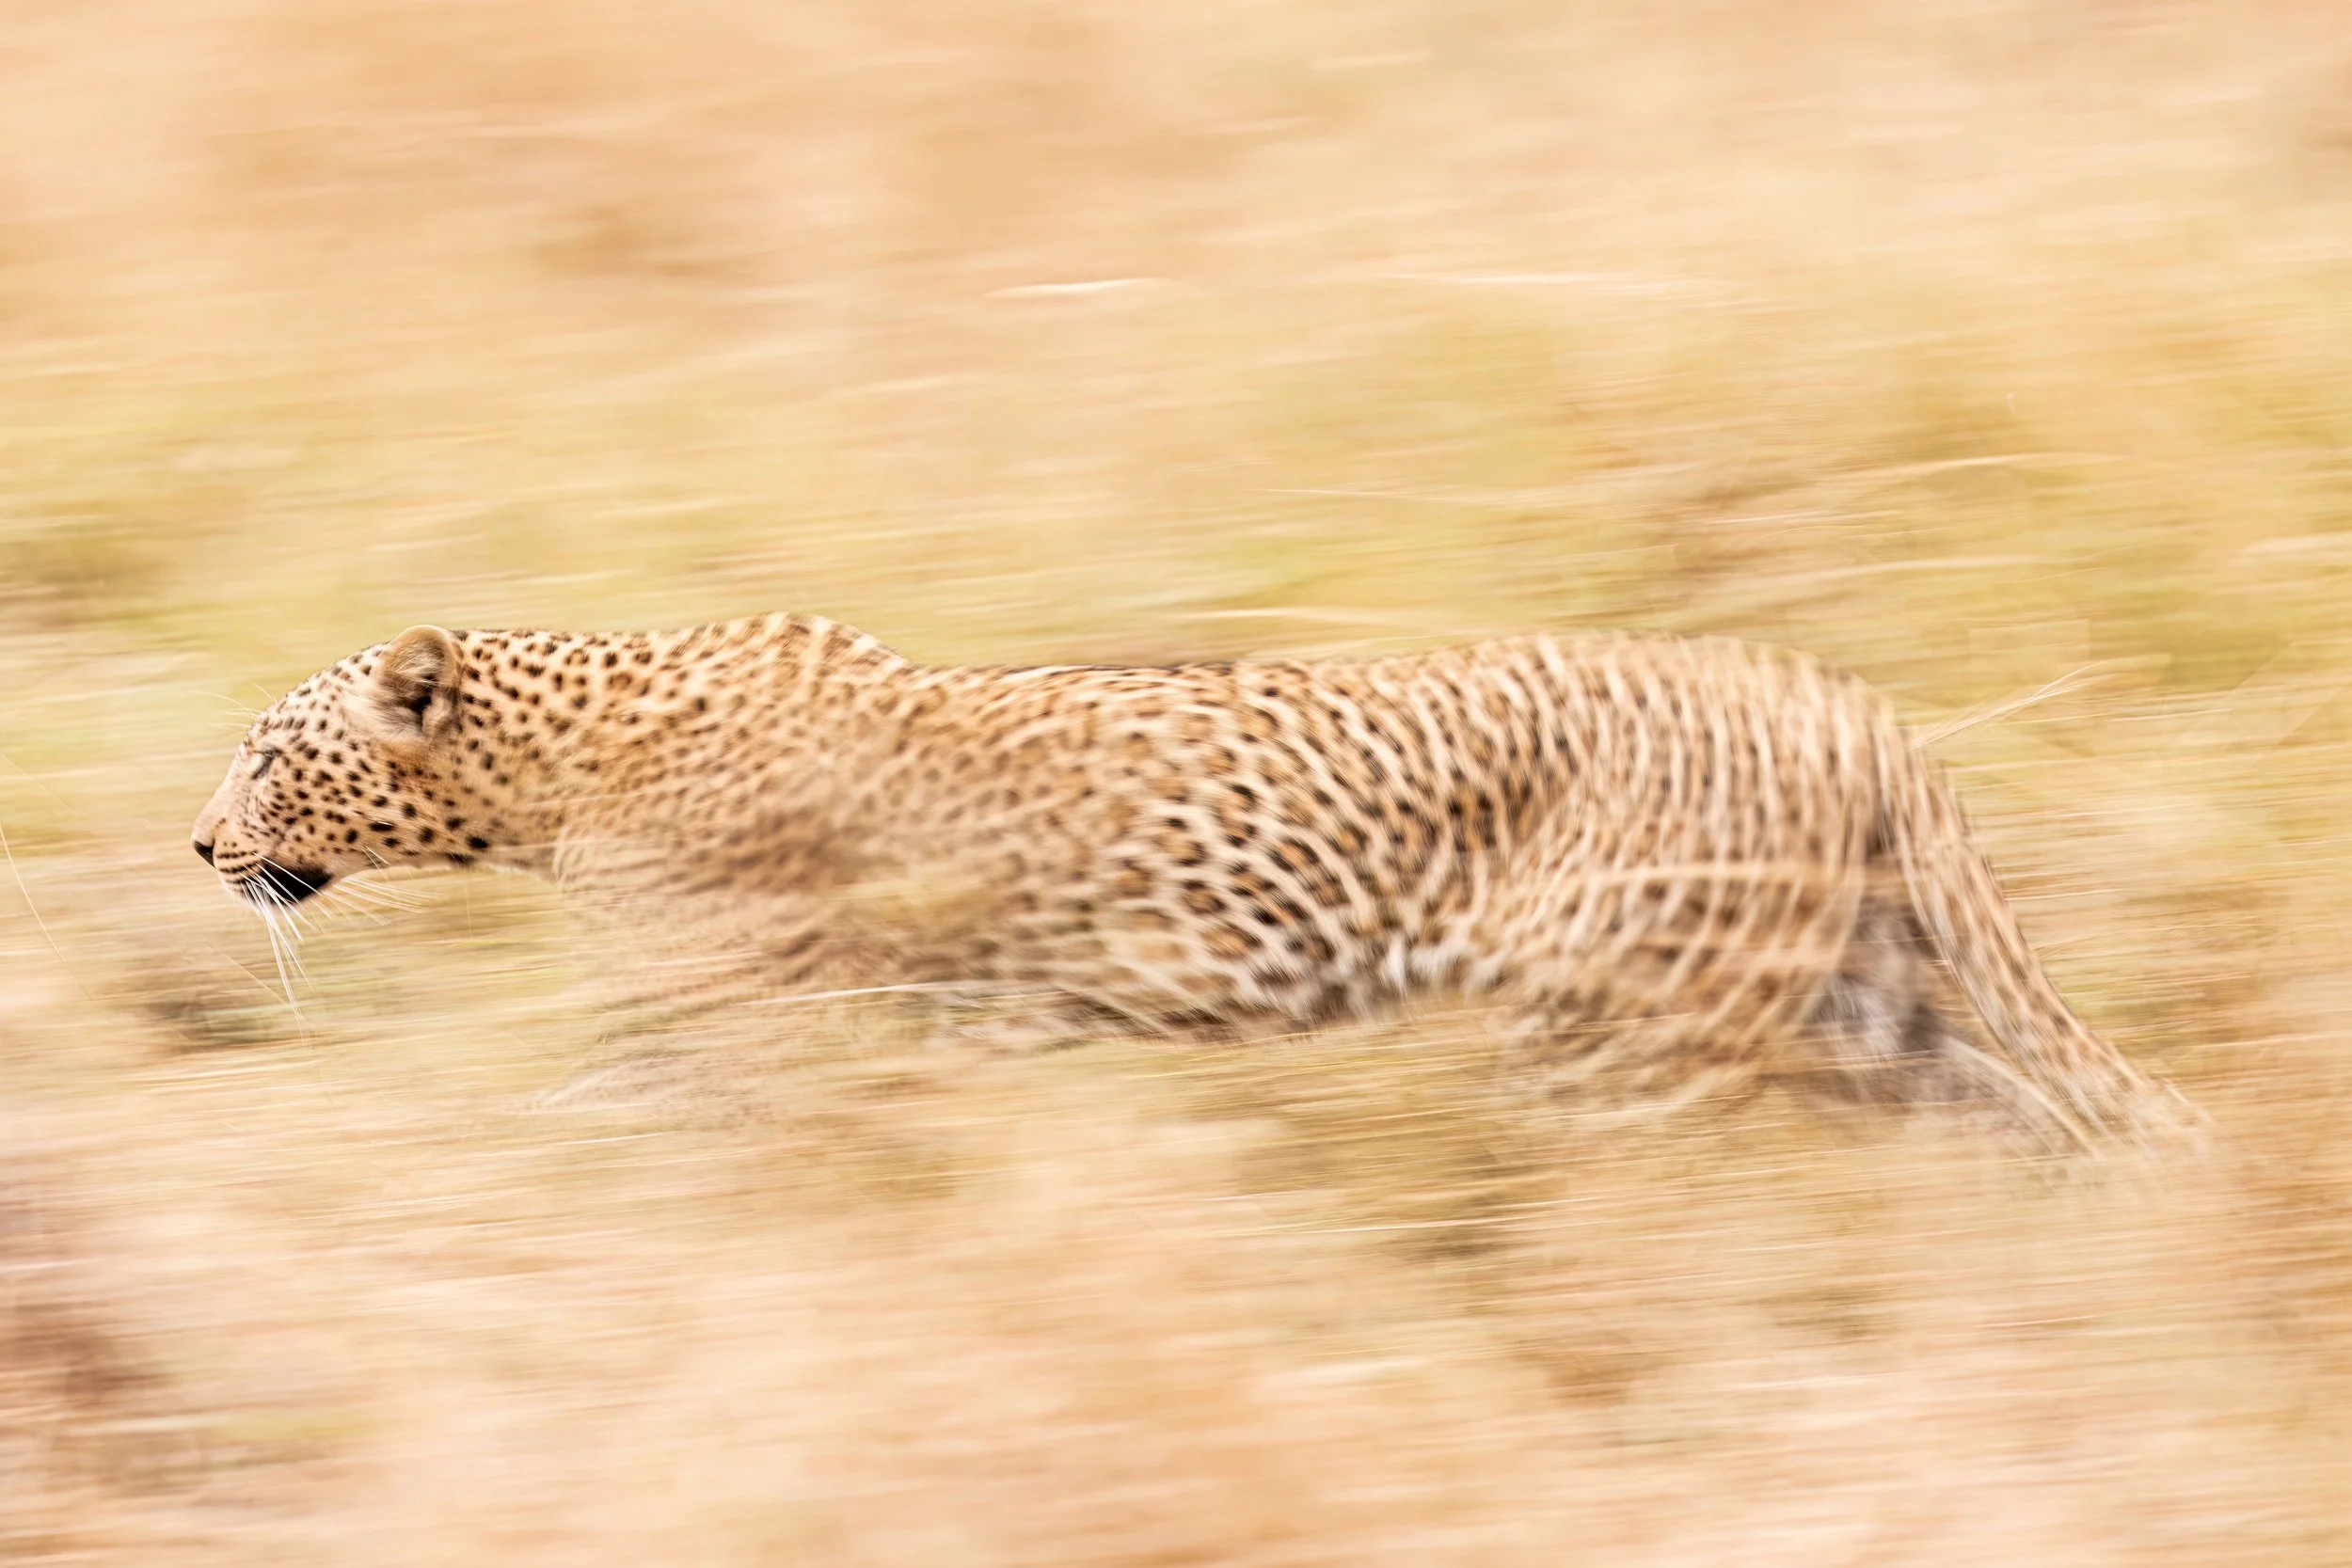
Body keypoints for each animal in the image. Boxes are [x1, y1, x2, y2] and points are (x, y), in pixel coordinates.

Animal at [191, 613, 2194, 1148]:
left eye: (265, 750)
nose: (199, 843)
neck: (553, 766)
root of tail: (1850, 702)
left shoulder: (735, 1019)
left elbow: (589, 1109)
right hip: (1868, 1007)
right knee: (2039, 1126)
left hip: (1631, 1027)